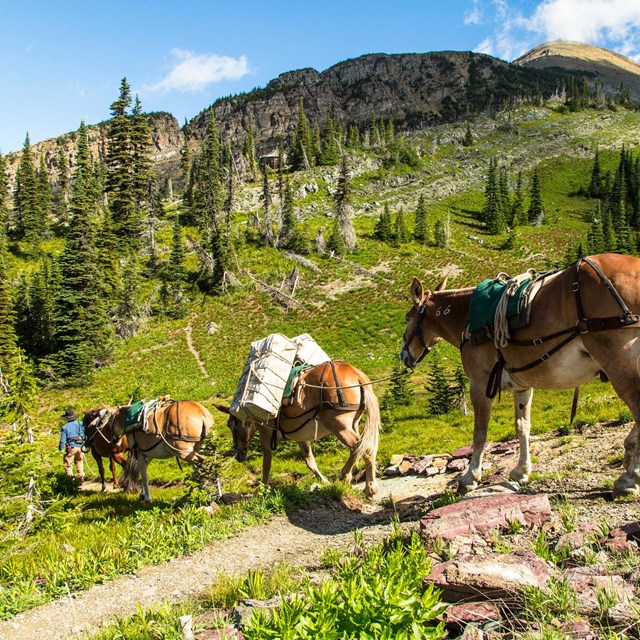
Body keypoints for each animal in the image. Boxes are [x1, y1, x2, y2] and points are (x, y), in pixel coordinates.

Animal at [218, 360, 382, 496]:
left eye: (231, 425)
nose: (238, 455)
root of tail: (356, 374)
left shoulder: (266, 435)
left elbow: (266, 465)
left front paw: (263, 489)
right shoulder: (301, 437)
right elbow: (310, 461)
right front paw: (324, 482)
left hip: (339, 426)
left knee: (363, 448)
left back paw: (366, 486)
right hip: (353, 424)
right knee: (360, 448)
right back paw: (349, 477)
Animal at [402, 252, 640, 498]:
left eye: (407, 318)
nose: (404, 355)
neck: (467, 318)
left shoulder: (479, 385)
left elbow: (480, 433)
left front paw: (470, 477)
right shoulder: (523, 386)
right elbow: (522, 426)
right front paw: (521, 471)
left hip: (618, 364)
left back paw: (629, 478)